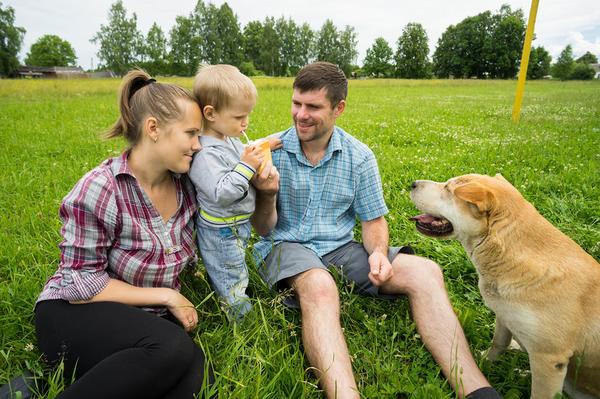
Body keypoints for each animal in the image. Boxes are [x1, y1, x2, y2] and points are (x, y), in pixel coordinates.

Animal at [410, 174, 600, 399]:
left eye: (448, 189)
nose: (413, 183)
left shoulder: (549, 358)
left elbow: (539, 393)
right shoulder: (503, 316)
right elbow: (498, 344)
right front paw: (484, 362)